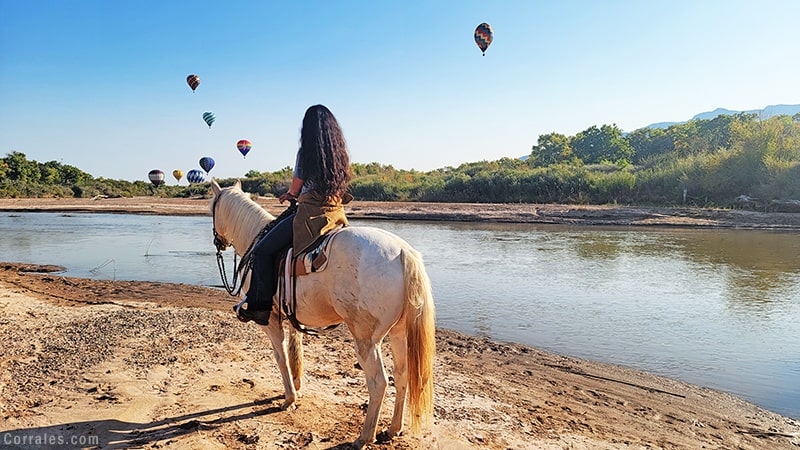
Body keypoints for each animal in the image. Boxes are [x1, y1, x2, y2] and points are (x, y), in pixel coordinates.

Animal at [209, 181, 434, 448]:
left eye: (212, 208)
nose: (219, 242)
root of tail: (402, 252)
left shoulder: (271, 320)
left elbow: (281, 357)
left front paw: (289, 399)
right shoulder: (292, 317)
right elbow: (296, 352)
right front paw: (297, 388)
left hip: (366, 340)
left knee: (379, 382)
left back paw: (364, 436)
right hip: (398, 332)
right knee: (402, 376)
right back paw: (393, 429)